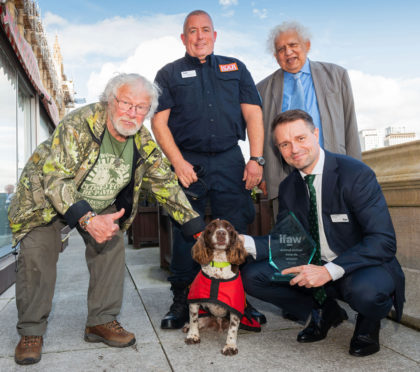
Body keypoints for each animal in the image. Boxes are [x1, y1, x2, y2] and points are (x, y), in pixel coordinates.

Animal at [184, 219, 246, 356]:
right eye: (211, 227)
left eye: (228, 228)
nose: (221, 233)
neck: (219, 263)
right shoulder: (195, 300)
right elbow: (193, 319)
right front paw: (193, 336)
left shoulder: (235, 306)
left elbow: (233, 329)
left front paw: (230, 346)